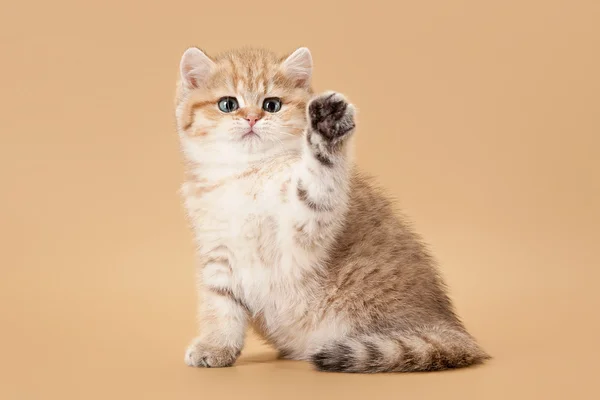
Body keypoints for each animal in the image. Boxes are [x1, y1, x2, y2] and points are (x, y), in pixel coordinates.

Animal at [173, 46, 488, 372]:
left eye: (272, 105)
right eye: (228, 104)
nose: (251, 118)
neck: (247, 174)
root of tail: (449, 325)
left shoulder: (304, 229)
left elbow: (317, 185)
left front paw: (326, 131)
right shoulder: (218, 253)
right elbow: (219, 305)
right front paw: (216, 346)